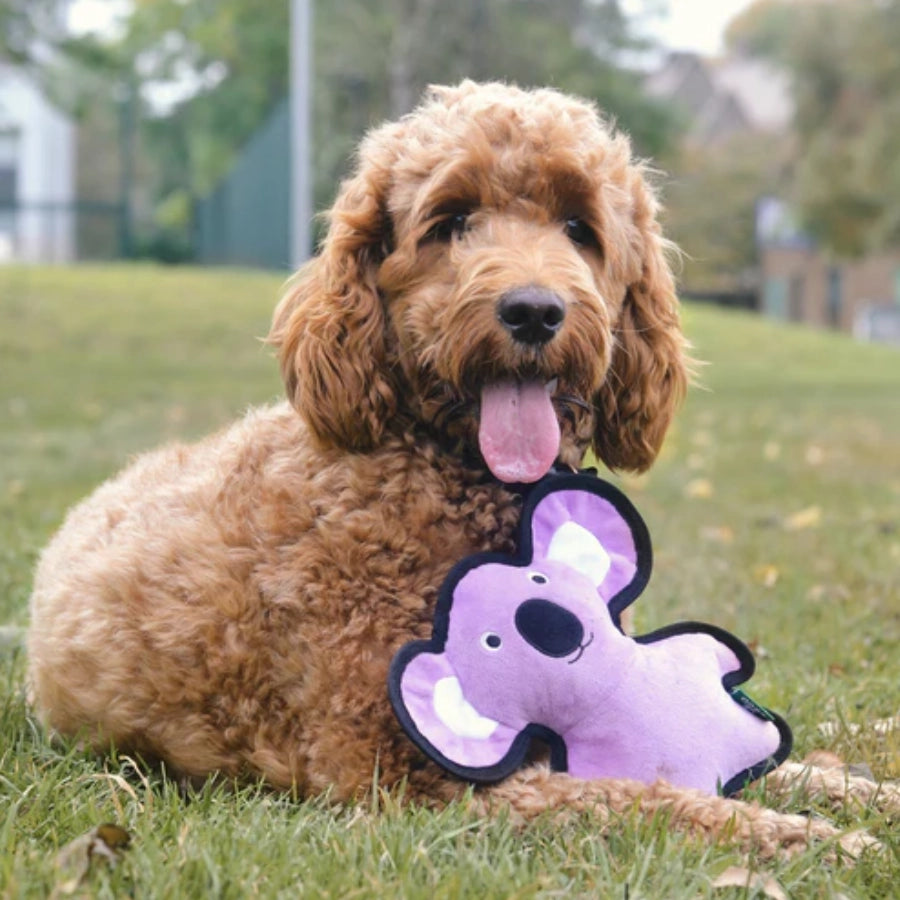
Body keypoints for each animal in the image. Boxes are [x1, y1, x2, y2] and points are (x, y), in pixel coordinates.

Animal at [24, 81, 888, 856]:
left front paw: (858, 794)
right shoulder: (410, 776)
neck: (451, 475)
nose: (534, 310)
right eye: (451, 222)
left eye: (579, 227)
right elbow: (639, 798)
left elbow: (770, 766)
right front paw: (807, 838)